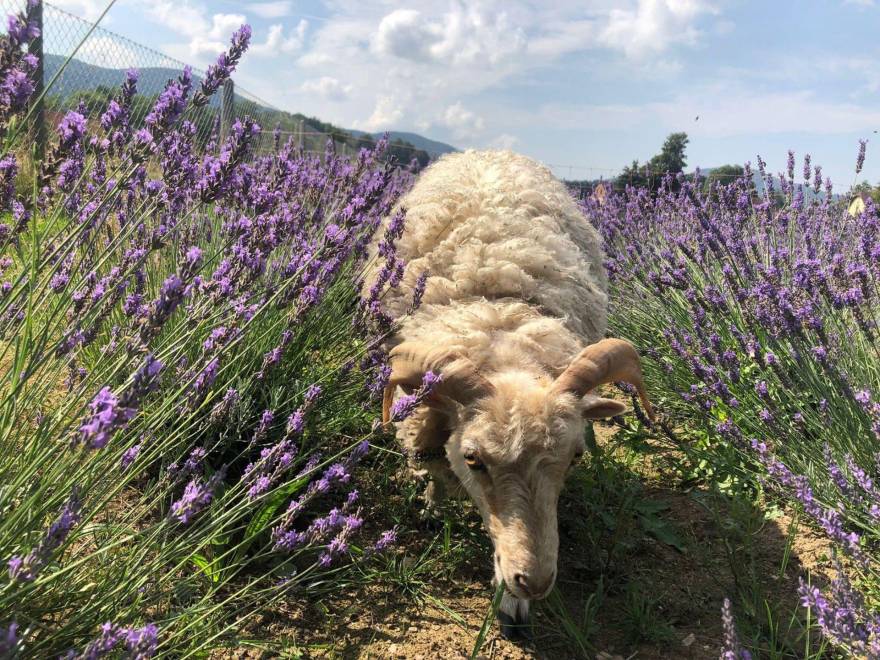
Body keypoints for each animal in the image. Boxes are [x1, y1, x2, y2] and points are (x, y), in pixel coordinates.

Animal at [365, 149, 653, 639]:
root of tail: (488, 152)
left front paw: (513, 603)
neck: (497, 315)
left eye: (576, 456)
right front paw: (432, 505)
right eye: (473, 459)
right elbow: (436, 471)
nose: (534, 581)